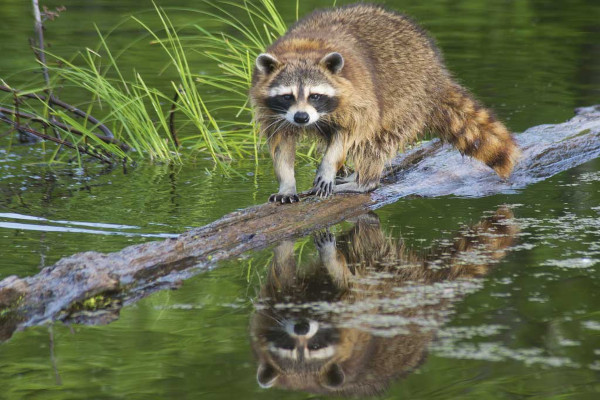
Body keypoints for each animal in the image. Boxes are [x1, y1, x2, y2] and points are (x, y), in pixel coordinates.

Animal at [250, 2, 520, 203]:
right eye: (288, 96)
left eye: (315, 95)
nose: (302, 118)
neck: (303, 50)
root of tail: (435, 71)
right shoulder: (273, 112)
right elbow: (281, 143)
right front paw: (287, 183)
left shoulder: (359, 100)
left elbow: (350, 133)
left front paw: (328, 166)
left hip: (408, 96)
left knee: (377, 140)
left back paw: (365, 181)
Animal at [251, 211, 516, 396]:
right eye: (287, 347)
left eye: (315, 347)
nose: (301, 327)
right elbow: (281, 276)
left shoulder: (358, 312)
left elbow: (354, 287)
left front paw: (333, 263)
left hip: (396, 277)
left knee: (367, 248)